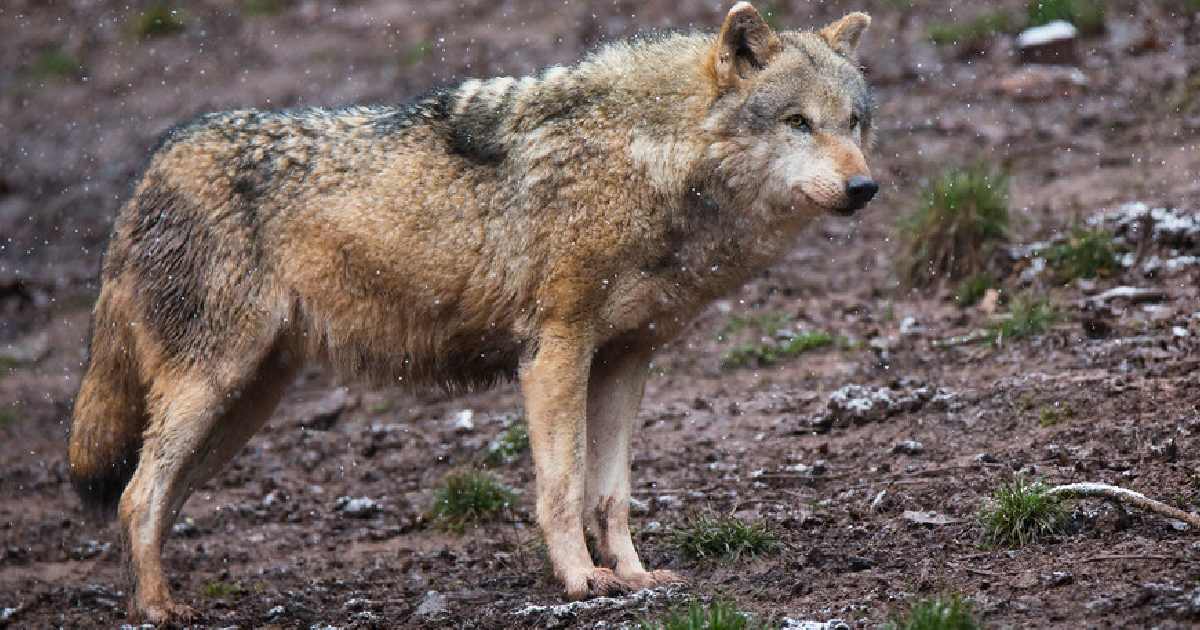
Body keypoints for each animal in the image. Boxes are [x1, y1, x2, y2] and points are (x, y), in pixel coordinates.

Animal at [68, 3, 883, 624]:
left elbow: (611, 494)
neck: (649, 158)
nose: (865, 188)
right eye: (798, 123)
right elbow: (561, 490)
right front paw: (582, 583)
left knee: (153, 500)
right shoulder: (555, 350)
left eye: (854, 123)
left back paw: (157, 600)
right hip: (215, 387)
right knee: (138, 497)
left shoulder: (626, 359)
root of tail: (151, 168)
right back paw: (158, 608)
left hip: (242, 407)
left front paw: (634, 576)